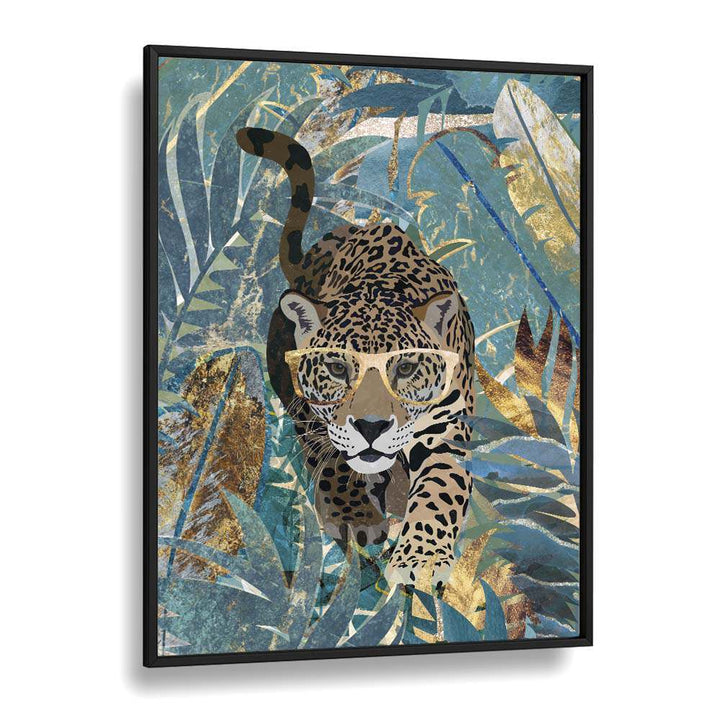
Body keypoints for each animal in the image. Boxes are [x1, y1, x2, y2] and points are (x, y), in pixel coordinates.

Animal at [236, 127, 476, 588]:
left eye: (406, 368)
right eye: (336, 368)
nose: (371, 427)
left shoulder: (446, 430)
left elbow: (441, 489)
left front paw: (420, 559)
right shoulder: (312, 409)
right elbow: (332, 458)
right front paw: (355, 517)